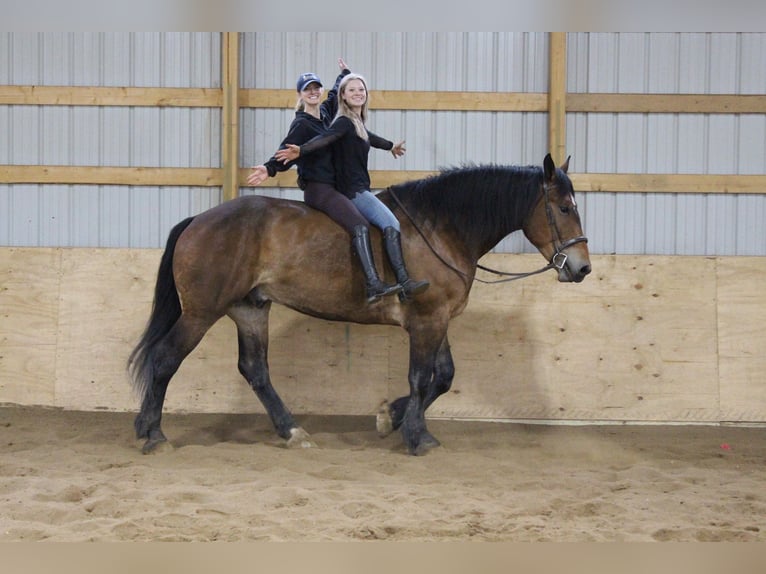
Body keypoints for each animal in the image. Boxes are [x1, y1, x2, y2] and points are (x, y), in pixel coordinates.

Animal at [127, 154, 592, 460]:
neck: (441, 228)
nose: (582, 267)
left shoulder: (437, 319)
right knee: (165, 358)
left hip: (250, 309)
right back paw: (154, 434)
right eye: (564, 207)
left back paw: (292, 431)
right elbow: (421, 377)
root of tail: (199, 221)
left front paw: (392, 417)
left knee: (255, 370)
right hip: (201, 313)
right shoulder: (427, 320)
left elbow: (442, 377)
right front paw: (415, 436)